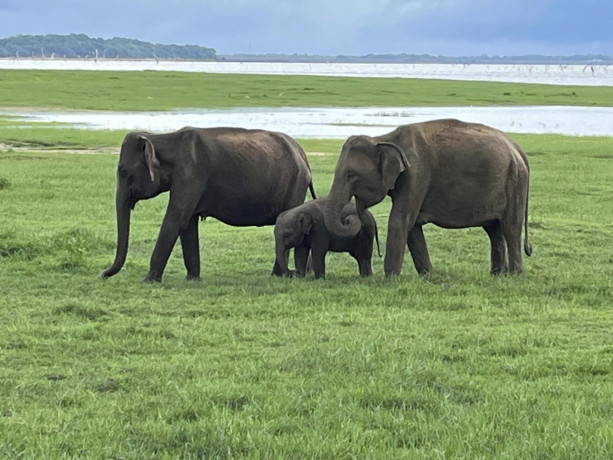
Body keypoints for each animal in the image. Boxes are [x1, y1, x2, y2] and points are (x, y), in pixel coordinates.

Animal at [100, 127, 316, 282]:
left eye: (124, 171)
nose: (103, 275)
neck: (164, 138)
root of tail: (303, 155)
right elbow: (188, 224)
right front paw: (192, 279)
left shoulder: (191, 174)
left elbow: (176, 219)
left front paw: (148, 281)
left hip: (294, 184)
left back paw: (279, 276)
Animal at [326, 119, 532, 276]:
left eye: (351, 176)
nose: (352, 217)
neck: (384, 138)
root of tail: (518, 148)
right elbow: (413, 227)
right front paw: (427, 275)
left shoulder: (416, 174)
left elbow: (400, 220)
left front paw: (390, 278)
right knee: (494, 230)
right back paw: (497, 274)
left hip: (514, 181)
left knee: (510, 227)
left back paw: (514, 275)